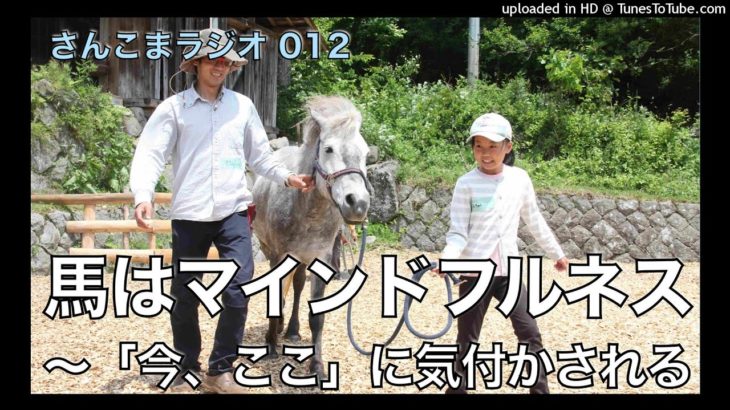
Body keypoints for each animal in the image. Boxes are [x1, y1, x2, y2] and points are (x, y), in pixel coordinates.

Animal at [251, 95, 372, 377]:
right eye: (328, 149)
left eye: (365, 153)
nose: (358, 204)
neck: (307, 209)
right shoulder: (278, 254)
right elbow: (275, 295)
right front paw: (270, 344)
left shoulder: (323, 259)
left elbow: (317, 317)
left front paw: (316, 366)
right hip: (270, 250)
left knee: (296, 285)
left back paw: (292, 330)